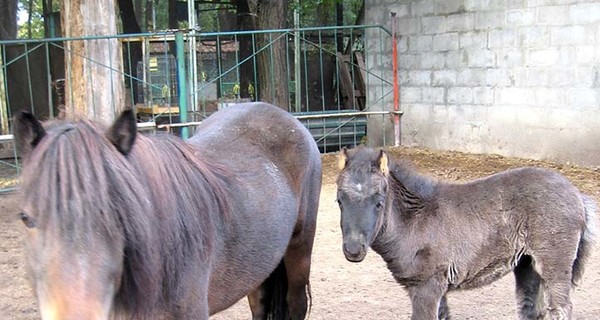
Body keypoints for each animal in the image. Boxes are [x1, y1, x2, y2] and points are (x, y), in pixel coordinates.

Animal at [336, 147, 596, 320]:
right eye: (339, 200)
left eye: (378, 202)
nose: (353, 250)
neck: (415, 220)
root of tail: (577, 194)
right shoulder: (436, 288)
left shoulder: (426, 288)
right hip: (527, 264)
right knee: (532, 309)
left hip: (554, 265)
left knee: (561, 309)